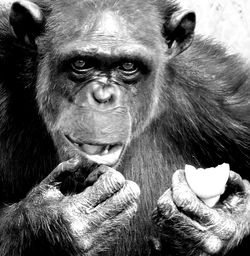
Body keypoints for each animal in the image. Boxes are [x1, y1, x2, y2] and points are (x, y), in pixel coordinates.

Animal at [0, 0, 250, 255]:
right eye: (81, 63)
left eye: (128, 66)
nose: (103, 97)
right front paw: (57, 219)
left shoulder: (226, 94)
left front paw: (223, 220)